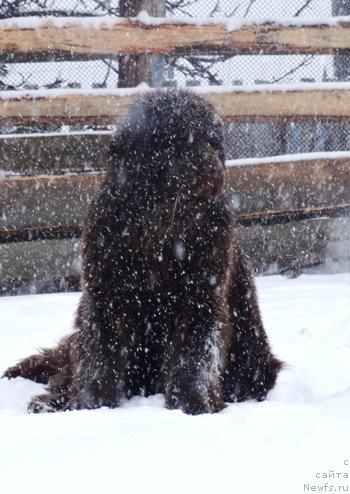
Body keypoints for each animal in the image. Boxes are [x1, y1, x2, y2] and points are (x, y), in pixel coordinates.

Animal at [2, 89, 282, 412]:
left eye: (212, 141)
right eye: (179, 140)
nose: (214, 168)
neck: (162, 229)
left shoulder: (201, 297)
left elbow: (195, 357)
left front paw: (194, 404)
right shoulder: (105, 295)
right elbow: (98, 357)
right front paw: (90, 405)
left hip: (253, 353)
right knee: (67, 368)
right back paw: (49, 401)